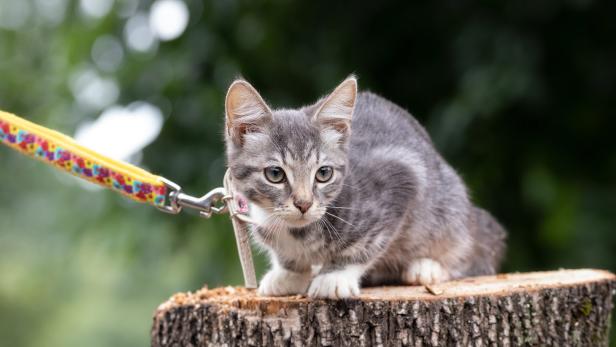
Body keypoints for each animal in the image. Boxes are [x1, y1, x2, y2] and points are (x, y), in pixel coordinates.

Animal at [224, 76, 502, 300]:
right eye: (275, 174)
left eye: (323, 173)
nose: (304, 204)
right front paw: (289, 273)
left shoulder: (402, 176)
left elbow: (364, 245)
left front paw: (334, 275)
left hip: (450, 206)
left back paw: (427, 267)